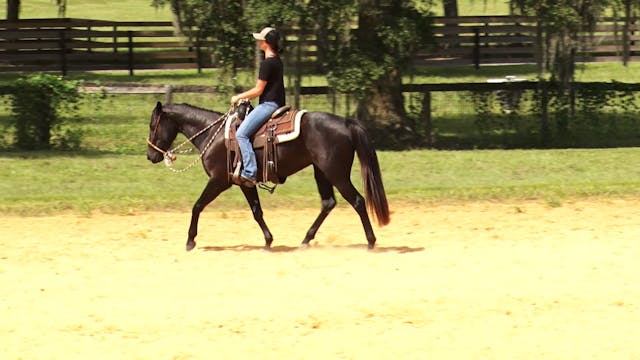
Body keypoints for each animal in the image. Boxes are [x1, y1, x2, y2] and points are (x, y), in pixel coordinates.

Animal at [148, 101, 390, 250]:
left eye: (153, 125)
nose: (151, 155)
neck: (213, 135)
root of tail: (346, 122)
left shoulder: (218, 181)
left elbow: (197, 206)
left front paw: (190, 240)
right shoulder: (244, 182)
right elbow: (257, 211)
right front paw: (268, 240)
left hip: (336, 173)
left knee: (357, 201)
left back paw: (370, 242)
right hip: (321, 172)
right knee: (328, 202)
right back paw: (306, 239)